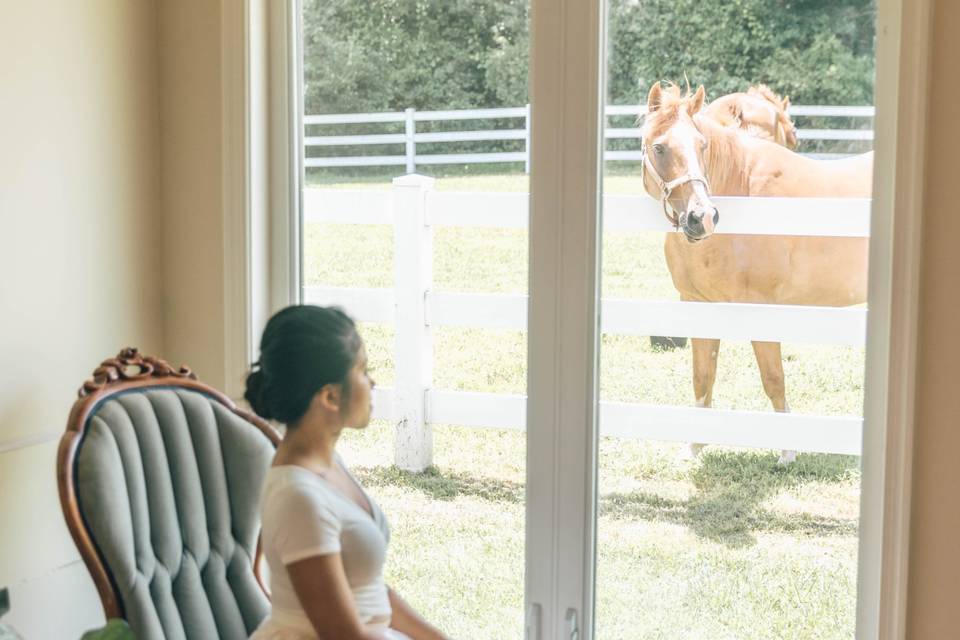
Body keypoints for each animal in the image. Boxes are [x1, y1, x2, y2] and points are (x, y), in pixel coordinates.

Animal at [640, 82, 872, 462]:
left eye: (702, 145)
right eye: (659, 147)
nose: (702, 218)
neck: (744, 188)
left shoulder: (762, 309)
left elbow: (773, 378)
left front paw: (787, 451)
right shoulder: (697, 305)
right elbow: (702, 376)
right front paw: (693, 446)